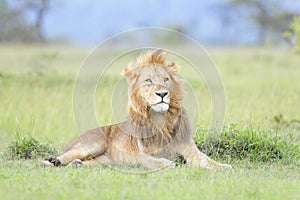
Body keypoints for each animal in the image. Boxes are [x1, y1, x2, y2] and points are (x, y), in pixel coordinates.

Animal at [42, 50, 232, 170]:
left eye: (166, 79)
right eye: (148, 81)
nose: (162, 93)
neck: (161, 120)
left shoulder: (190, 150)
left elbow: (209, 161)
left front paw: (224, 167)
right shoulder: (144, 156)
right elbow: (165, 163)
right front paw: (175, 165)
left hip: (106, 161)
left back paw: (76, 164)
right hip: (93, 144)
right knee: (62, 156)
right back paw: (51, 162)